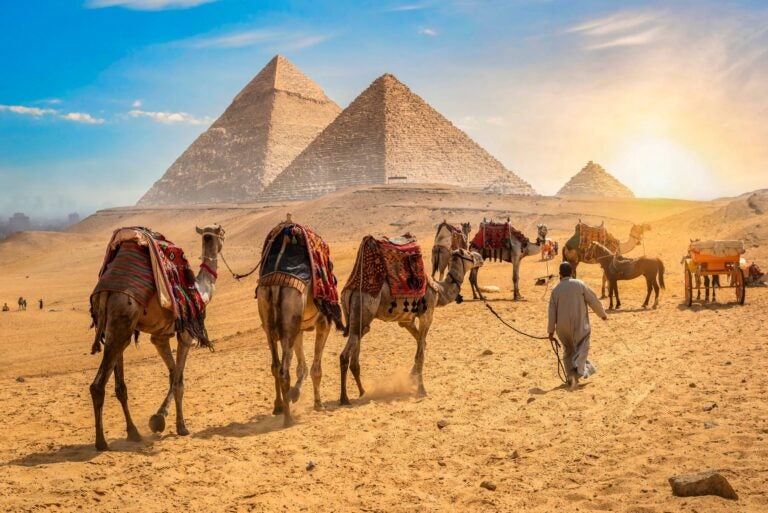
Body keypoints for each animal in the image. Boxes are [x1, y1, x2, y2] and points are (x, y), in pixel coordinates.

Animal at [88, 225, 223, 451]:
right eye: (222, 234)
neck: (201, 290)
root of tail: (106, 291)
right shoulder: (186, 333)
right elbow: (178, 381)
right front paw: (179, 426)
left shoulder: (160, 337)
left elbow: (173, 375)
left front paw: (159, 418)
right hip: (123, 319)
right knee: (97, 386)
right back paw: (101, 442)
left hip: (113, 328)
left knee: (120, 386)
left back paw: (133, 433)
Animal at [339, 248, 478, 405]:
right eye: (469, 254)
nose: (480, 257)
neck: (439, 290)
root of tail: (348, 291)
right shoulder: (427, 314)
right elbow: (421, 353)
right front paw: (421, 389)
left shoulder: (406, 321)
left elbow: (422, 344)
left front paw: (412, 377)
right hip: (363, 308)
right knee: (345, 355)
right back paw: (344, 398)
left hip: (357, 321)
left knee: (355, 355)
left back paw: (362, 392)